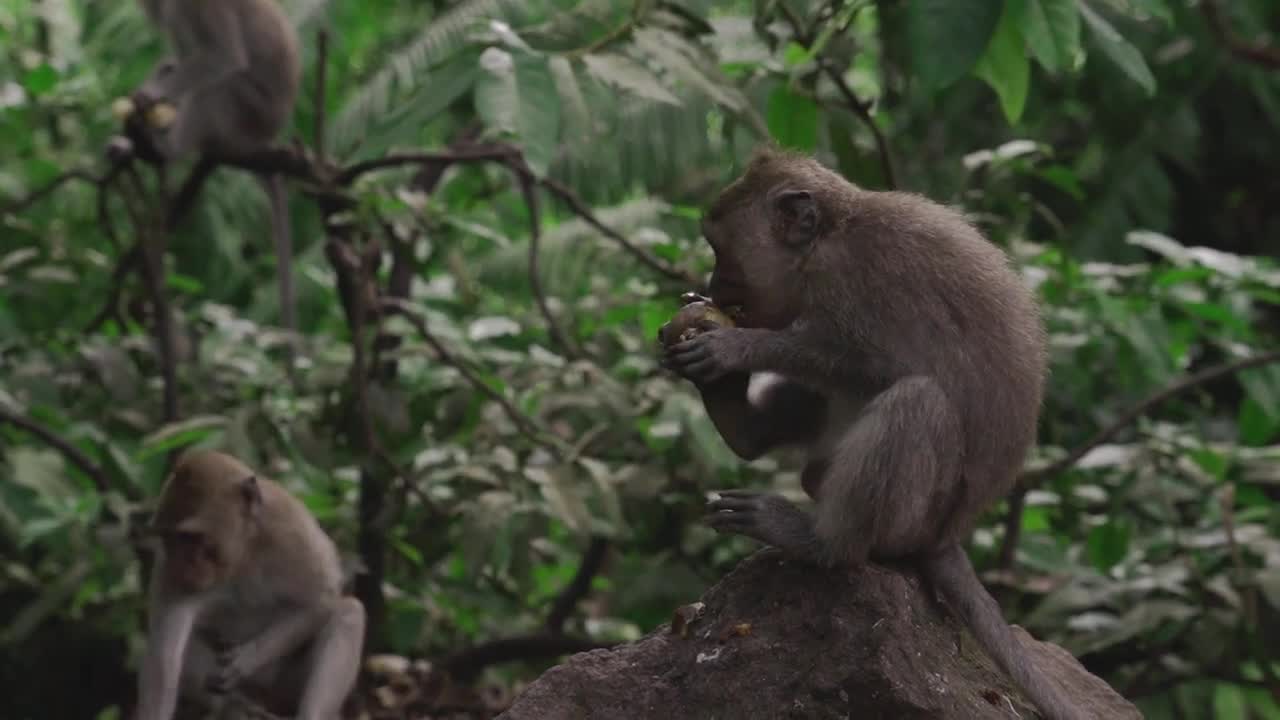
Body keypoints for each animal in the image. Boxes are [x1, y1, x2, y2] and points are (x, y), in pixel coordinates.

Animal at [128, 0, 303, 379]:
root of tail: (266, 138)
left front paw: (152, 96)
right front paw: (154, 89)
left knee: (218, 88)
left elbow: (224, 58)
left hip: (248, 113)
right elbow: (181, 58)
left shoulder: (199, 6)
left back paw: (168, 148)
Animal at [134, 448, 363, 717]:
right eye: (168, 538)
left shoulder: (290, 528)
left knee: (349, 612)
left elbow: (323, 599)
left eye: (190, 537)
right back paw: (232, 706)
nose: (182, 566)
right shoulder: (169, 569)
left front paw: (245, 661)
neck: (243, 554)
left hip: (284, 686)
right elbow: (163, 660)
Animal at [660, 147, 1090, 717]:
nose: (710, 288)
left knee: (917, 401)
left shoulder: (851, 278)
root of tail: (947, 536)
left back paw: (821, 541)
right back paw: (741, 425)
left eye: (719, 249)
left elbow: (883, 365)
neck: (830, 235)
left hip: (914, 516)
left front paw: (739, 347)